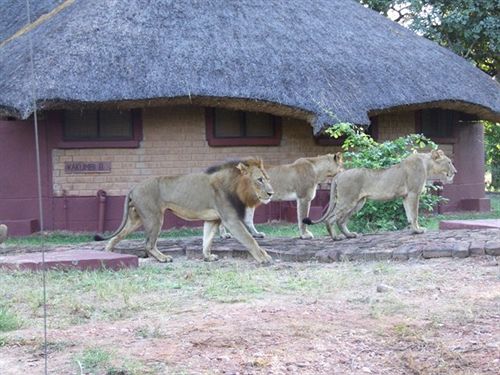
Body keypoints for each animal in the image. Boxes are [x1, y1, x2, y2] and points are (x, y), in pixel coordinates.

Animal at [95, 159, 276, 264]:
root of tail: (133, 187)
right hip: (154, 218)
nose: (271, 193)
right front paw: (263, 258)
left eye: (268, 179)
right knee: (148, 244)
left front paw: (207, 257)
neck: (235, 186)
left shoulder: (213, 220)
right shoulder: (231, 220)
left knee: (117, 236)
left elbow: (207, 240)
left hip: (136, 219)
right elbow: (250, 240)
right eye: (260, 180)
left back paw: (108, 252)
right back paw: (163, 258)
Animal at [304, 151, 458, 241]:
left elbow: (409, 215)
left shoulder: (406, 196)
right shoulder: (414, 193)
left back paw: (350, 235)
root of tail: (339, 175)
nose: (455, 172)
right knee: (330, 219)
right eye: (449, 162)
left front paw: (414, 230)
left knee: (341, 221)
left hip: (358, 203)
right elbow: (414, 214)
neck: (427, 164)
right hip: (348, 201)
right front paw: (419, 230)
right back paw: (336, 237)